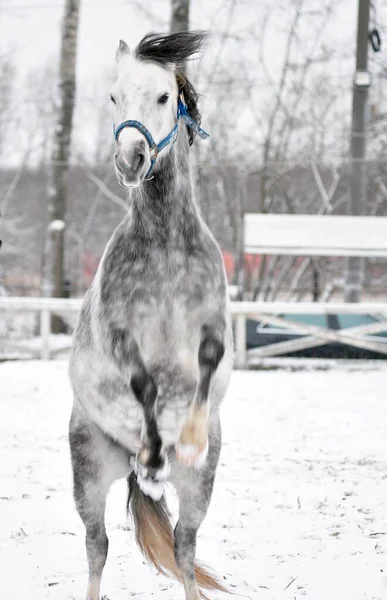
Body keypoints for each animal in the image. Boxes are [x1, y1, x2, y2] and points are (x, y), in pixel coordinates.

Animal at [69, 31, 233, 600]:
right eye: (114, 96)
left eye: (164, 96)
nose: (130, 159)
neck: (164, 247)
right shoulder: (120, 335)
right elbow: (144, 383)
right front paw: (156, 451)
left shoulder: (212, 326)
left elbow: (206, 363)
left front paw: (187, 439)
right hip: (89, 472)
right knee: (96, 546)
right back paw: (146, 463)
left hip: (201, 489)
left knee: (184, 547)